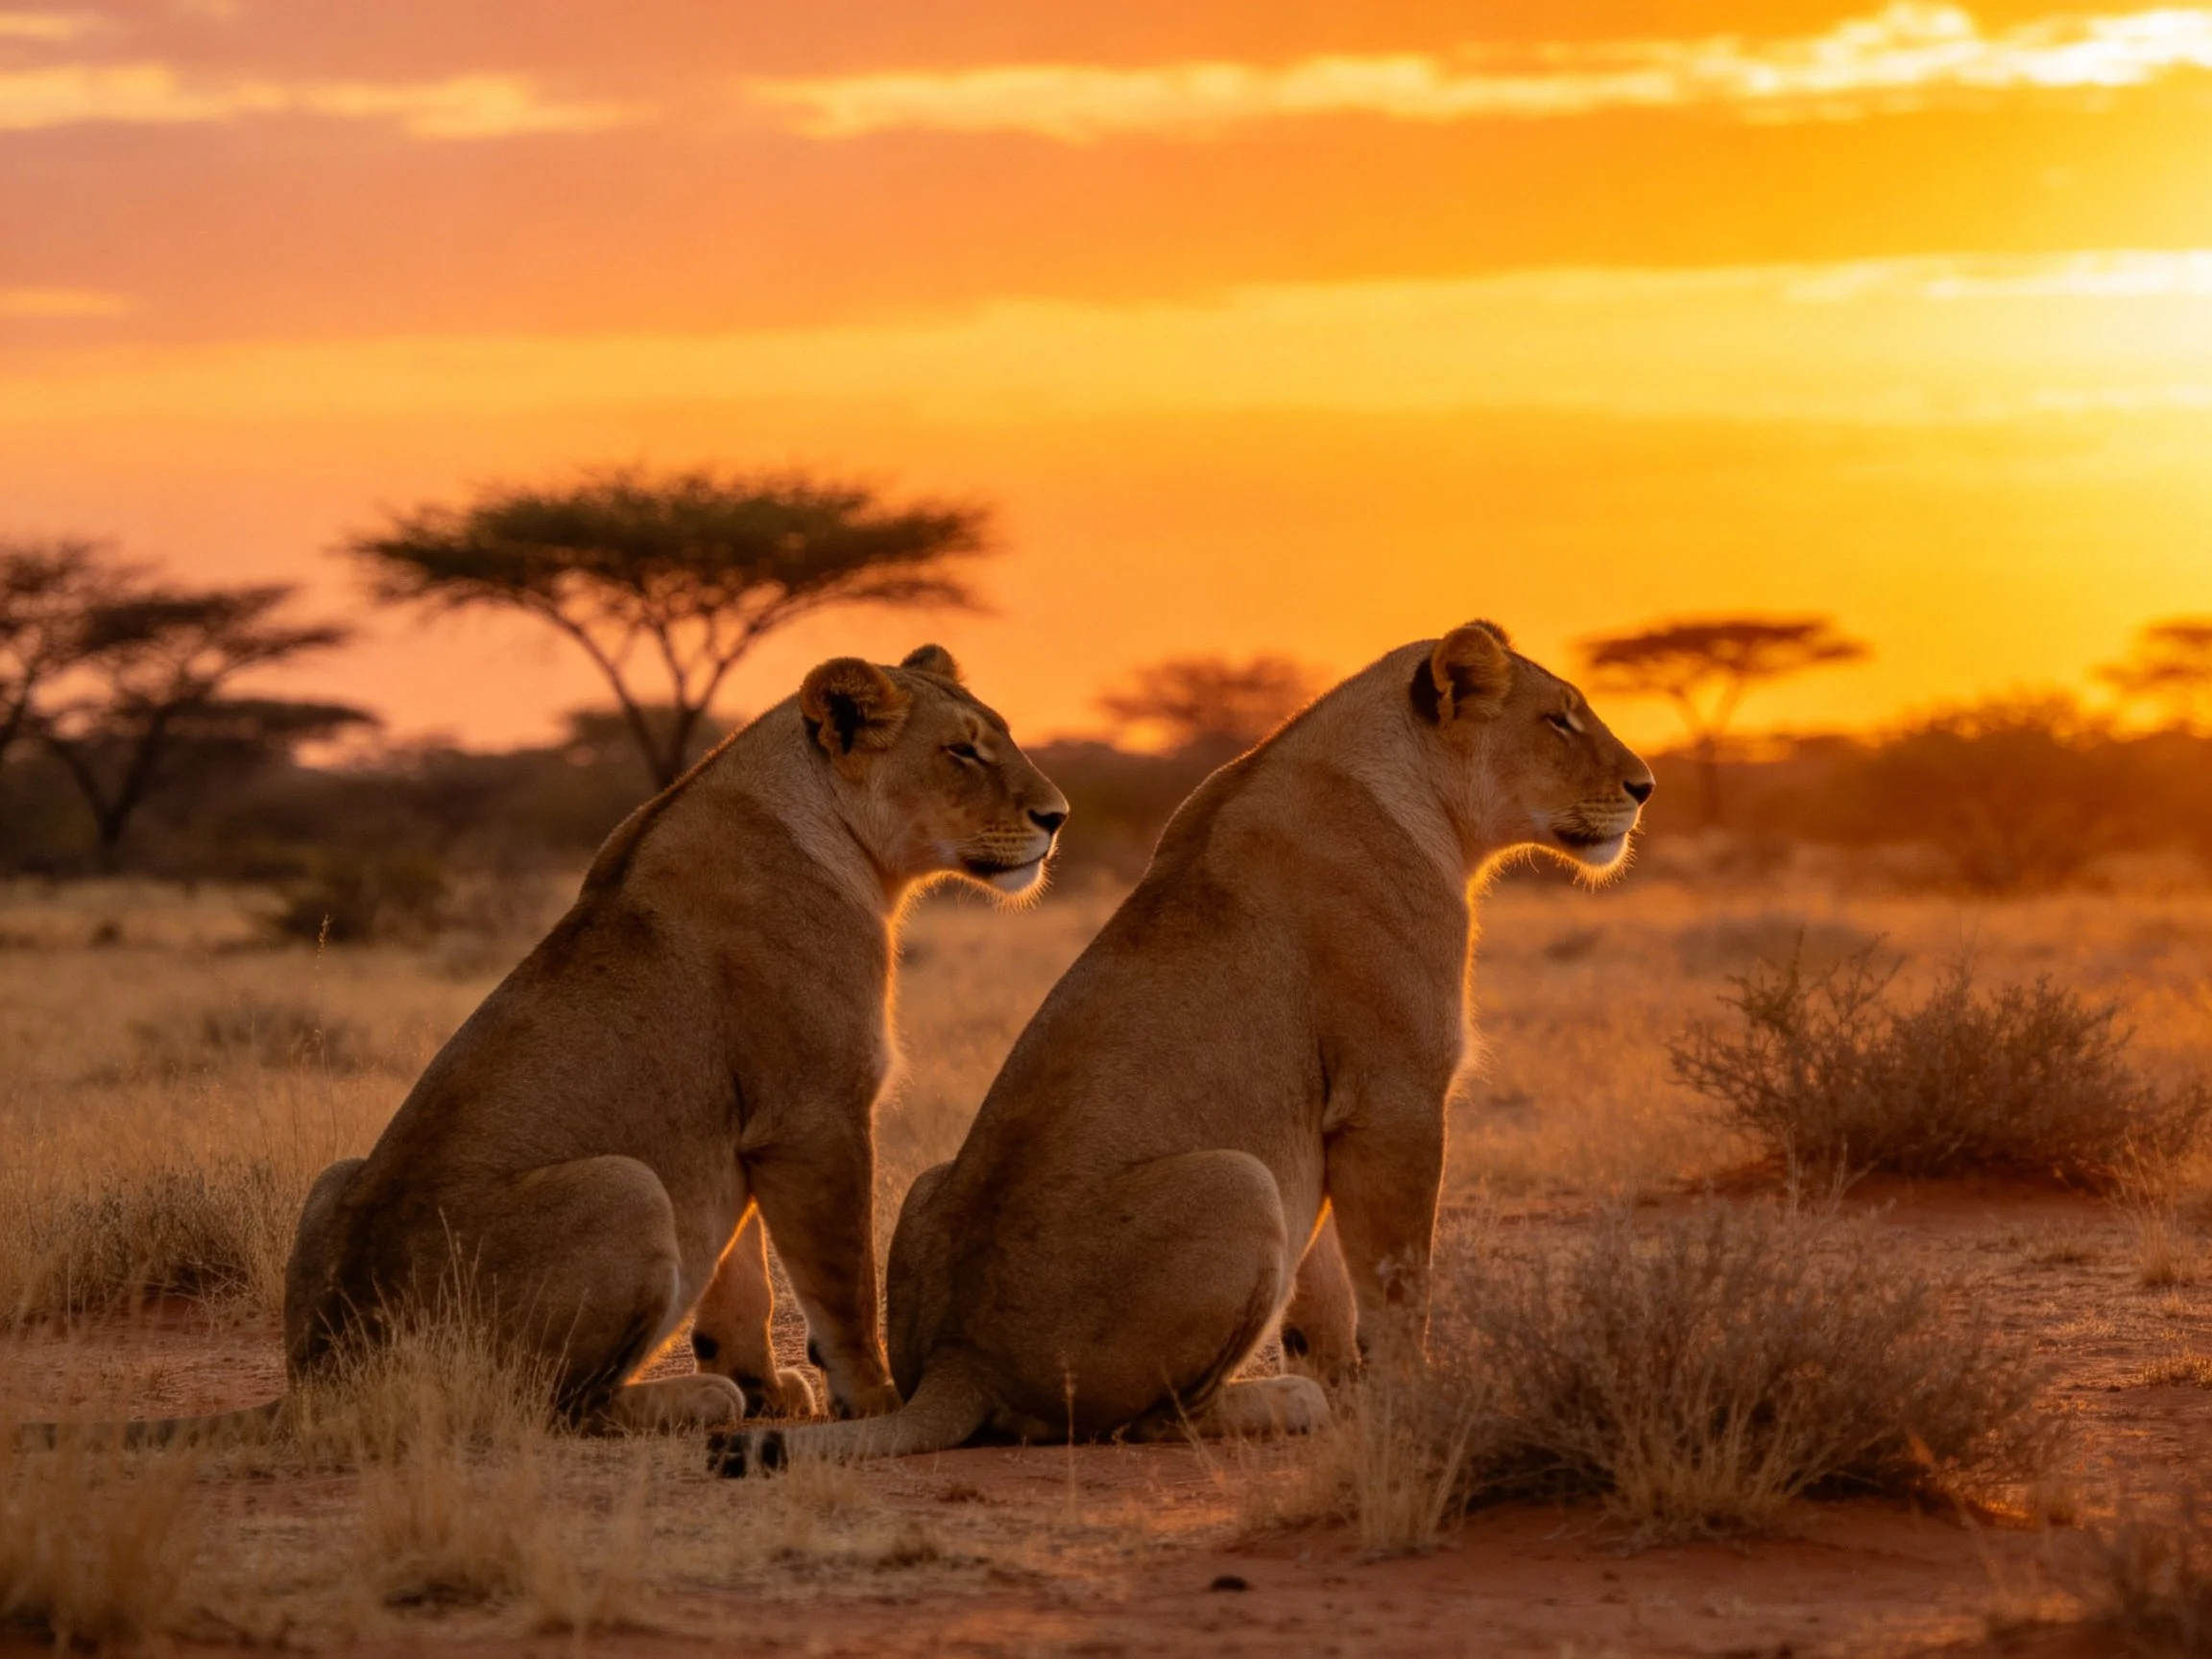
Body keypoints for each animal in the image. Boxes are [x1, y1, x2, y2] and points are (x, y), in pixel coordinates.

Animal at [27, 645, 1067, 1447]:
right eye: (962, 751)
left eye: (1000, 735)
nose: (1057, 817)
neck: (842, 841)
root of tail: (329, 1374)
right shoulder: (815, 1114)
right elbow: (839, 1283)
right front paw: (875, 1399)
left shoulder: (739, 1136)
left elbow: (740, 1275)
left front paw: (768, 1384)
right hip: (626, 1184)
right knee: (554, 1407)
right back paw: (696, 1399)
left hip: (337, 1174)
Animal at [712, 622, 1650, 1470]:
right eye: (1560, 720)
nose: (1644, 786)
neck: (1421, 797)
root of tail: (959, 1362)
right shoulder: (1395, 1093)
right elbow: (1396, 1277)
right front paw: (1413, 1395)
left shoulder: (1326, 1119)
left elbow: (1324, 1287)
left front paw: (1350, 1386)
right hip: (1240, 1178)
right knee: (1155, 1421)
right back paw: (1285, 1401)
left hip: (940, 1179)